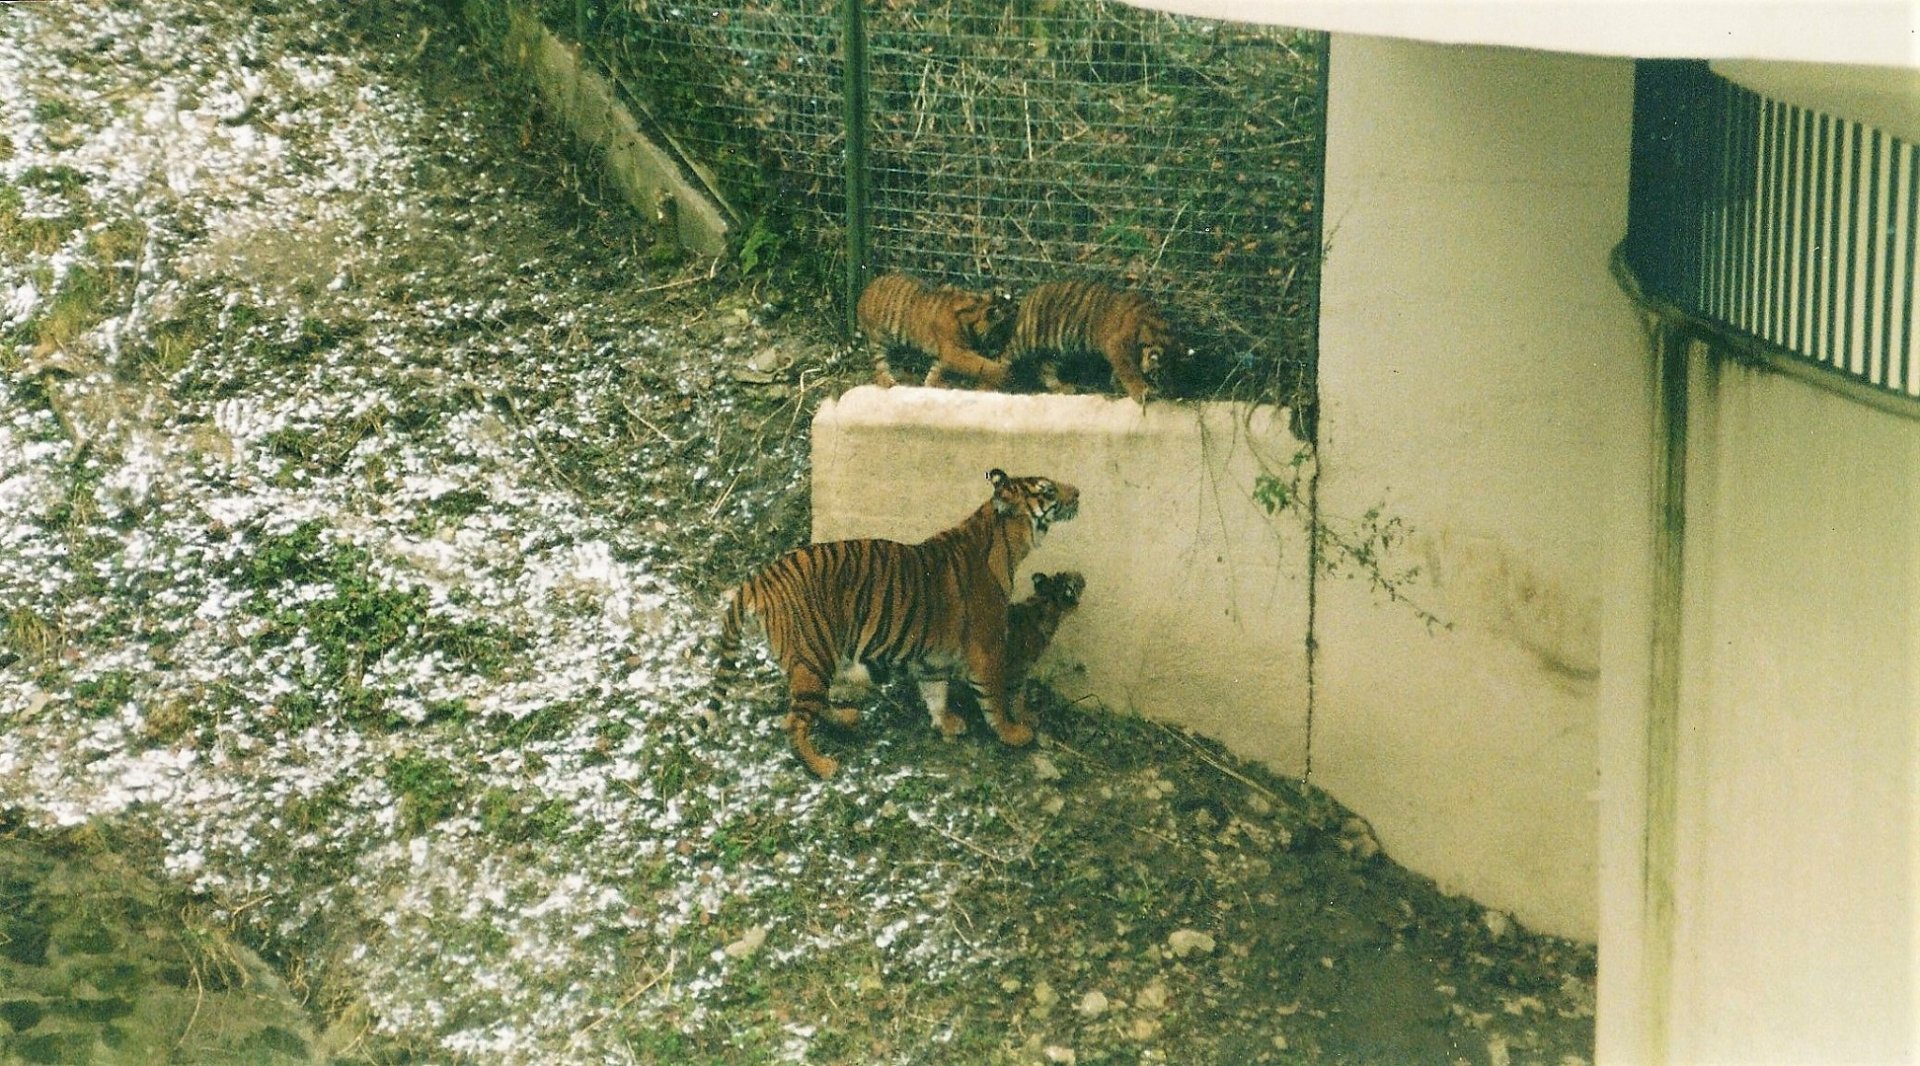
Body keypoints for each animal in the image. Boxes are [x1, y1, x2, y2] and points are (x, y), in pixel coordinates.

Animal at [715, 469, 1081, 777]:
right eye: (1048, 490)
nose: (1078, 492)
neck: (1007, 542)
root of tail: (760, 578)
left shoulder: (932, 657)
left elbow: (935, 691)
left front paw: (946, 724)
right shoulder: (986, 647)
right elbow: (994, 698)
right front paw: (1013, 733)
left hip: (818, 659)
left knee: (812, 705)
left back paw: (846, 717)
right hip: (813, 654)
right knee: (795, 720)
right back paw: (822, 766)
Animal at [857, 271, 1014, 390]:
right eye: (1002, 331)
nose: (1006, 345)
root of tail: (864, 293)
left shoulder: (943, 353)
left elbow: (935, 370)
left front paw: (932, 383)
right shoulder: (953, 352)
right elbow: (979, 363)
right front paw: (1003, 374)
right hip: (877, 339)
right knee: (879, 363)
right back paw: (887, 381)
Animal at [1002, 279, 1177, 403]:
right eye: (1156, 374)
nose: (1165, 390)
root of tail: (1028, 297)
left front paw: (1118, 387)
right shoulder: (1118, 346)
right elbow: (1128, 371)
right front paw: (1140, 391)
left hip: (1056, 352)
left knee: (1045, 368)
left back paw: (1063, 387)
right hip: (1027, 338)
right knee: (1006, 355)